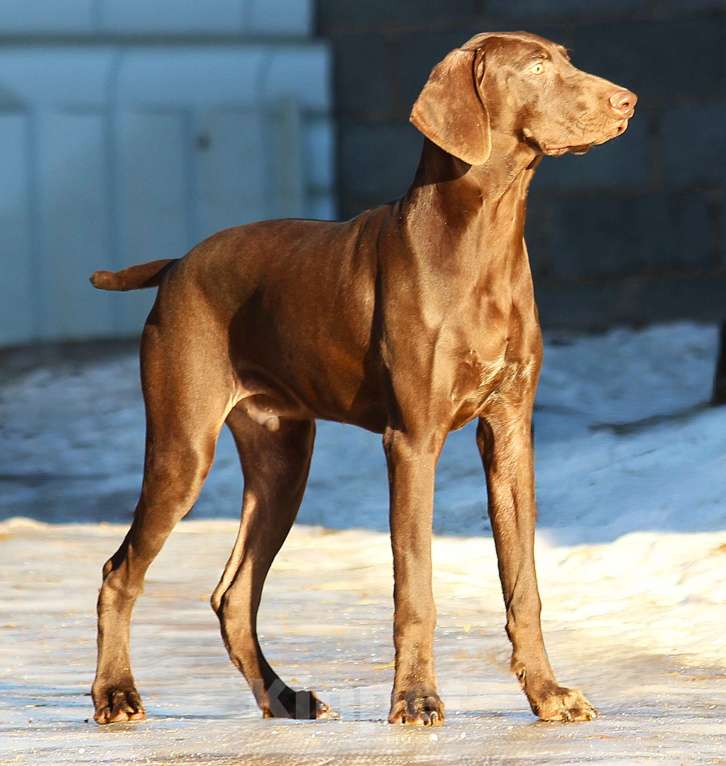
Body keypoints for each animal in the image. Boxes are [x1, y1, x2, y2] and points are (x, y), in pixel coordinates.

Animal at [89, 33, 636, 728]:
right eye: (537, 68)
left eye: (564, 57)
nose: (628, 100)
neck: (484, 238)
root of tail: (177, 264)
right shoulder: (412, 441)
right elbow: (415, 585)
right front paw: (416, 698)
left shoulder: (510, 435)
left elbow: (524, 584)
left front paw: (546, 693)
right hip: (182, 448)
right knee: (119, 572)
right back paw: (116, 694)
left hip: (282, 461)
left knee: (234, 594)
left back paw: (284, 697)